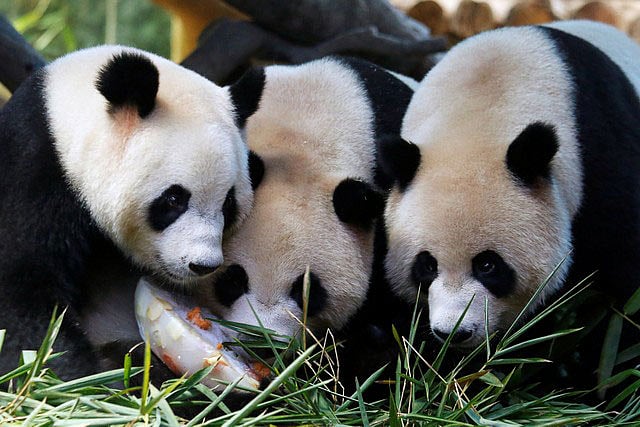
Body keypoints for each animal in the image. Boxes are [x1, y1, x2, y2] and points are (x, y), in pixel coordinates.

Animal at [0, 45, 255, 379]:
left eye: (228, 204)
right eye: (174, 200)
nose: (203, 265)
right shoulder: (31, 173)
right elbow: (20, 294)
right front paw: (76, 377)